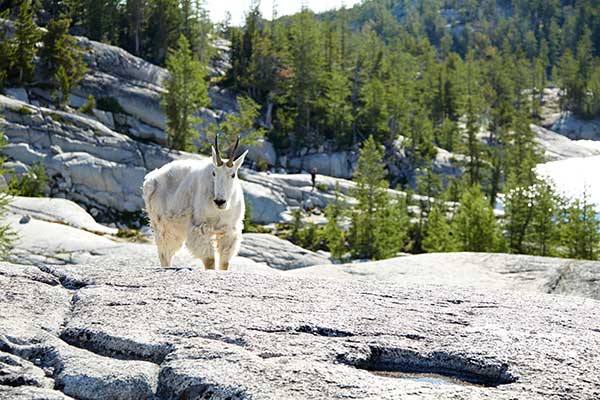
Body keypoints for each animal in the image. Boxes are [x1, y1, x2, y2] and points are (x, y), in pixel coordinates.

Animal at [144, 136, 247, 270]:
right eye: (214, 173)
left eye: (233, 174)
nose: (219, 201)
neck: (220, 210)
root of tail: (150, 179)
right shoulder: (200, 227)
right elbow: (209, 260)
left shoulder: (229, 230)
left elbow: (224, 262)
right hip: (161, 224)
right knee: (164, 252)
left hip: (176, 228)